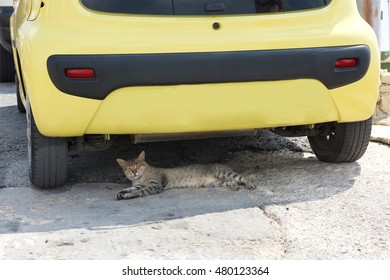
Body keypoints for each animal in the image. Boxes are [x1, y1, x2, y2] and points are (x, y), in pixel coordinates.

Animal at [116, 151, 256, 199]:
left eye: (138, 165)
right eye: (129, 168)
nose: (134, 171)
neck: (140, 177)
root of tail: (225, 165)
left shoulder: (154, 185)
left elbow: (139, 191)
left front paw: (128, 195)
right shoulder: (139, 184)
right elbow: (131, 188)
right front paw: (121, 193)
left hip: (224, 173)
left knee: (242, 177)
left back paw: (250, 184)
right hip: (217, 182)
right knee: (233, 181)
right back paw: (235, 186)